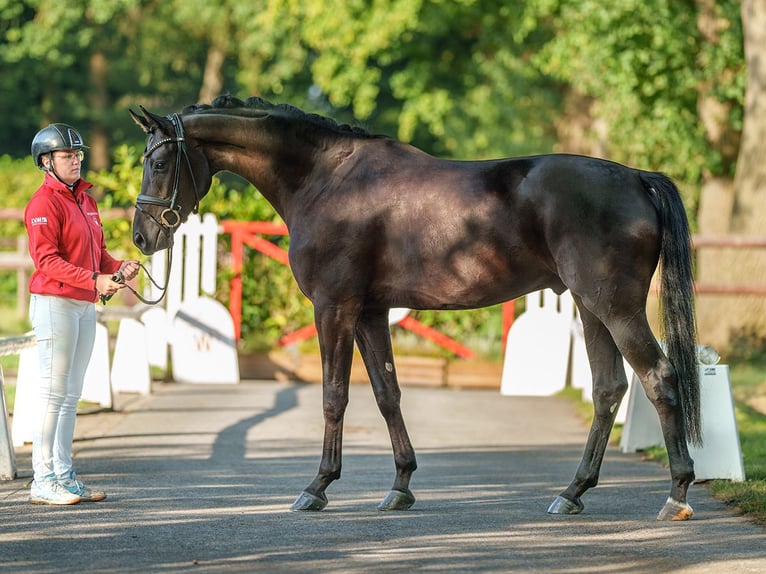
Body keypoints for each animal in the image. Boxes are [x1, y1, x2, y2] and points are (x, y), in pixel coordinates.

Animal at [130, 97, 704, 524]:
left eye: (159, 163)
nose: (142, 237)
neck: (327, 179)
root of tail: (636, 178)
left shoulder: (334, 308)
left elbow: (334, 396)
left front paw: (317, 487)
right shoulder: (370, 312)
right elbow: (387, 394)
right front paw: (401, 486)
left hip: (616, 308)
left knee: (658, 378)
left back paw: (676, 494)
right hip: (590, 307)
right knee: (608, 389)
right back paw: (573, 492)